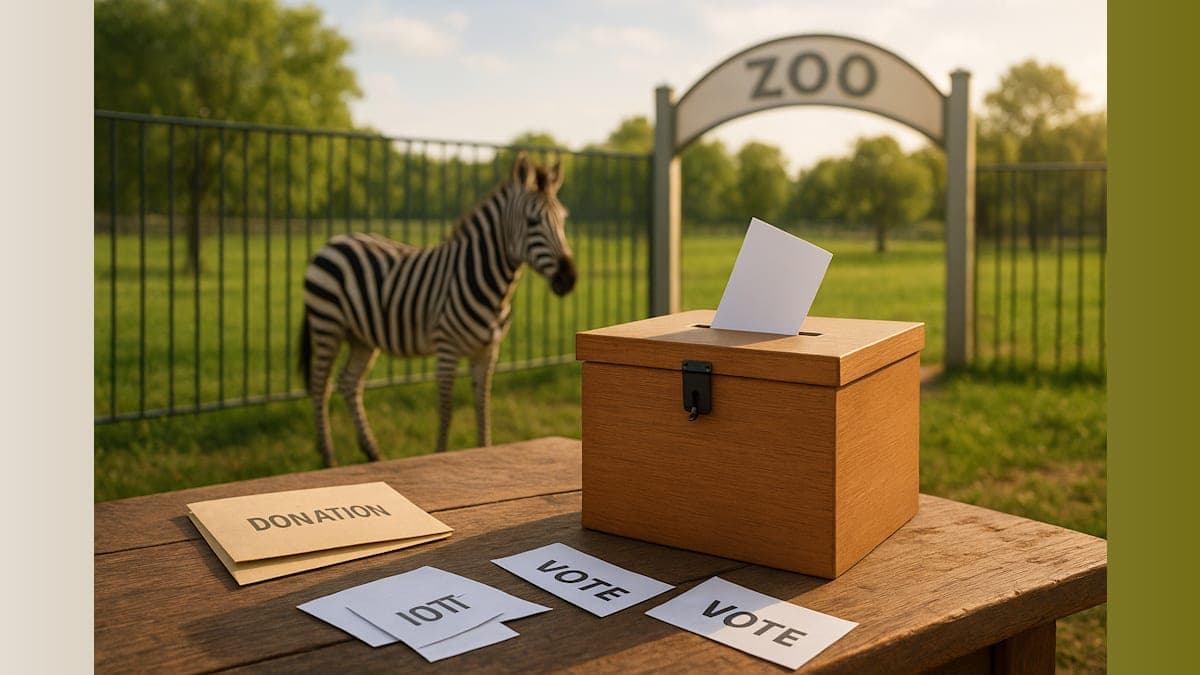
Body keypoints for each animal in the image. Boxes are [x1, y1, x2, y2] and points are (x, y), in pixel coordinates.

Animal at [299, 151, 576, 466]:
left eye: (563, 219)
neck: (489, 285)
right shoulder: (447, 349)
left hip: (361, 336)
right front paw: (441, 455)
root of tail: (334, 240)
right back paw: (329, 459)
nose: (569, 278)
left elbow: (483, 408)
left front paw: (485, 450)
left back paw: (373, 453)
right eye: (532, 221)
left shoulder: (487, 352)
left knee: (349, 383)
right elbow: (446, 412)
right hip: (326, 324)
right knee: (320, 387)